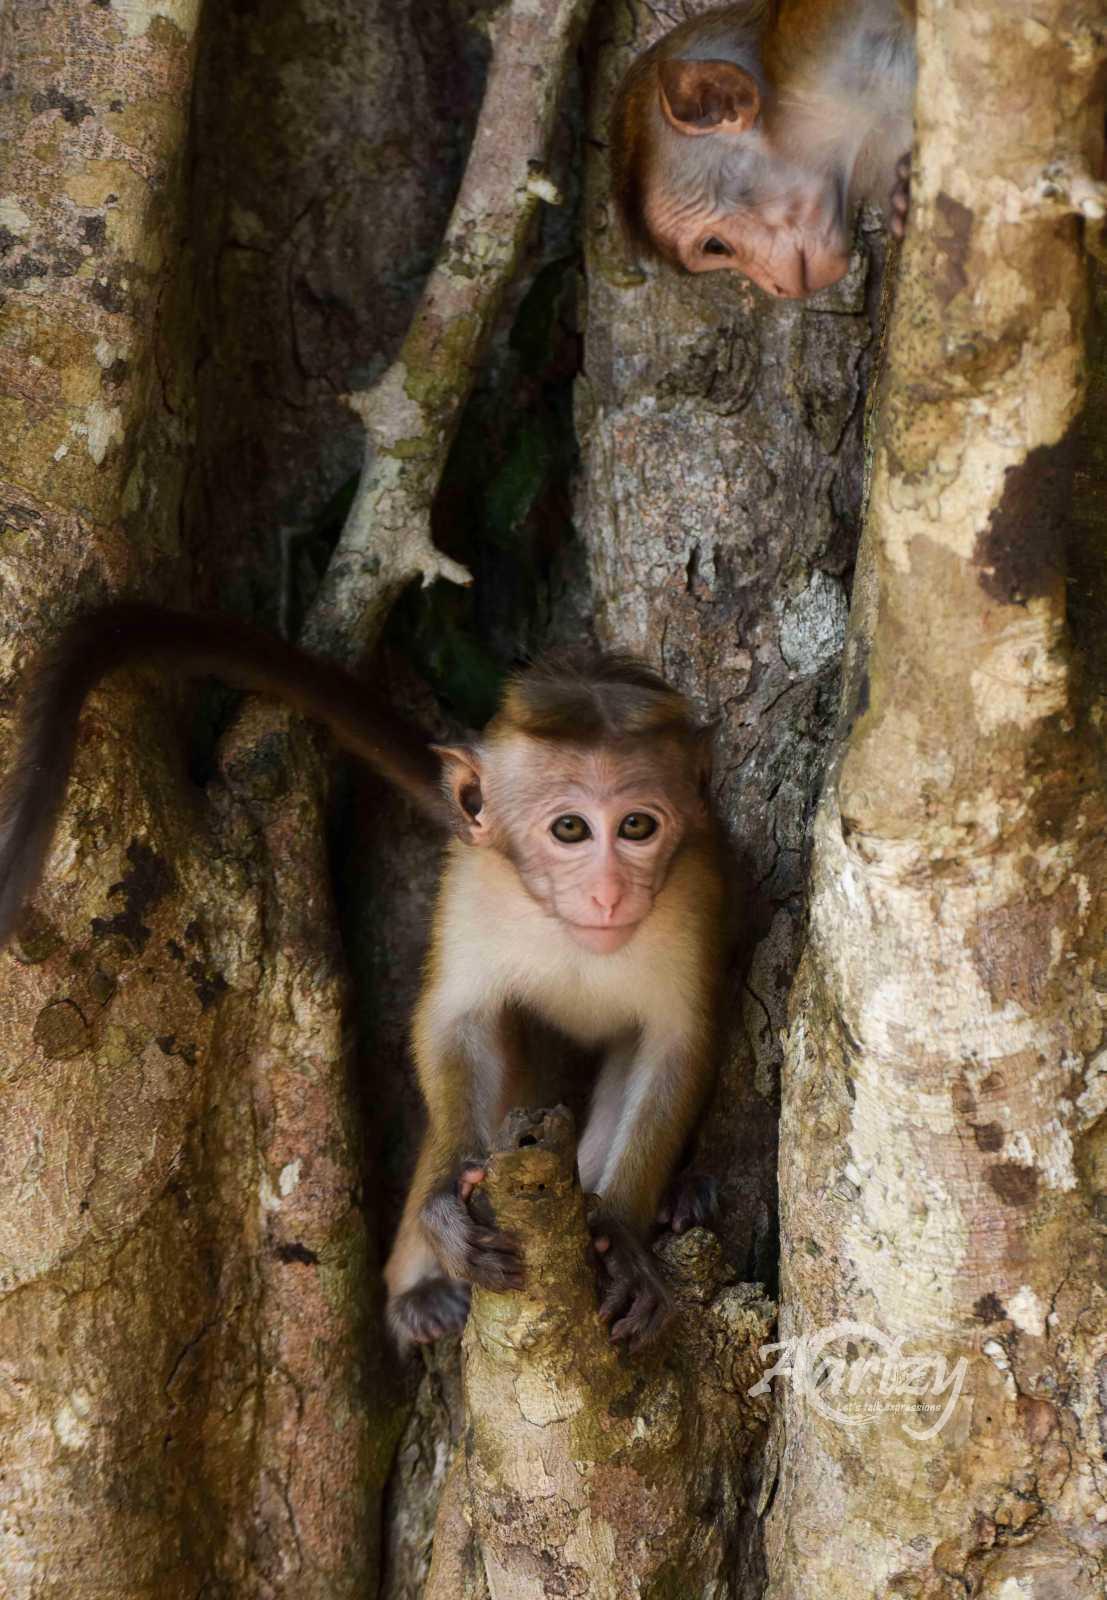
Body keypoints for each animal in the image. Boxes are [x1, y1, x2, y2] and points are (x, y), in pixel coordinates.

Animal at [0, 604, 725, 1351]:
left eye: (636, 826)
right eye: (572, 829)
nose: (609, 895)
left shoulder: (691, 895)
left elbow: (673, 1046)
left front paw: (621, 1232)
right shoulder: (472, 884)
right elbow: (457, 1023)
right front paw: (446, 1203)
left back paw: (679, 1198)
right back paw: (422, 1290)